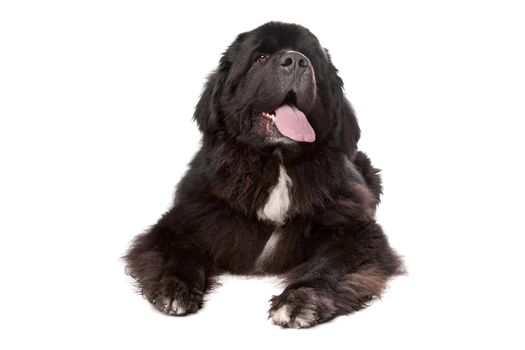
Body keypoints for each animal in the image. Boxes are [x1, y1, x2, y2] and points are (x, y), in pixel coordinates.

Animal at [125, 21, 404, 328]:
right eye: (260, 57)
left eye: (311, 60)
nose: (296, 60)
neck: (276, 161)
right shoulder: (184, 217)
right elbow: (180, 247)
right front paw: (175, 287)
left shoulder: (356, 230)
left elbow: (331, 261)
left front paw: (300, 299)